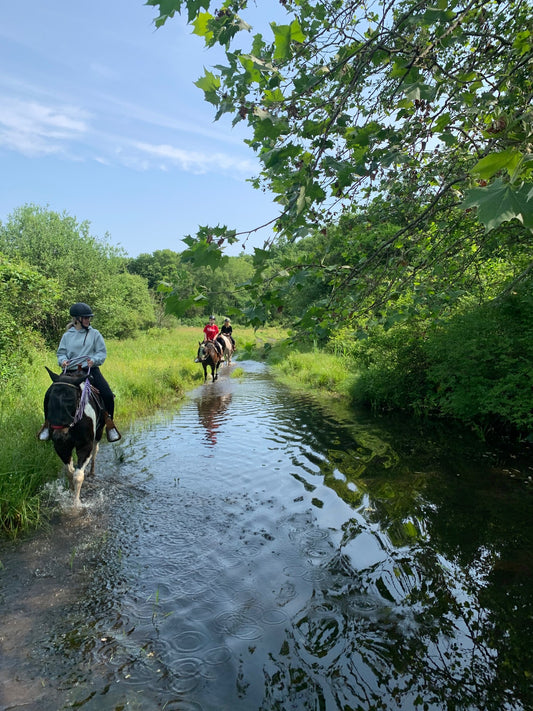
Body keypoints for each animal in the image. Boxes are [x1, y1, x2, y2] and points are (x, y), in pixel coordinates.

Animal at [44, 368, 106, 506]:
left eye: (71, 402)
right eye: (49, 400)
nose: (59, 436)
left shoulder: (85, 446)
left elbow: (78, 476)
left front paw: (76, 504)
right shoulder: (61, 447)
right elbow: (69, 472)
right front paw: (71, 490)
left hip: (99, 433)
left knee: (95, 451)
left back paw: (92, 472)